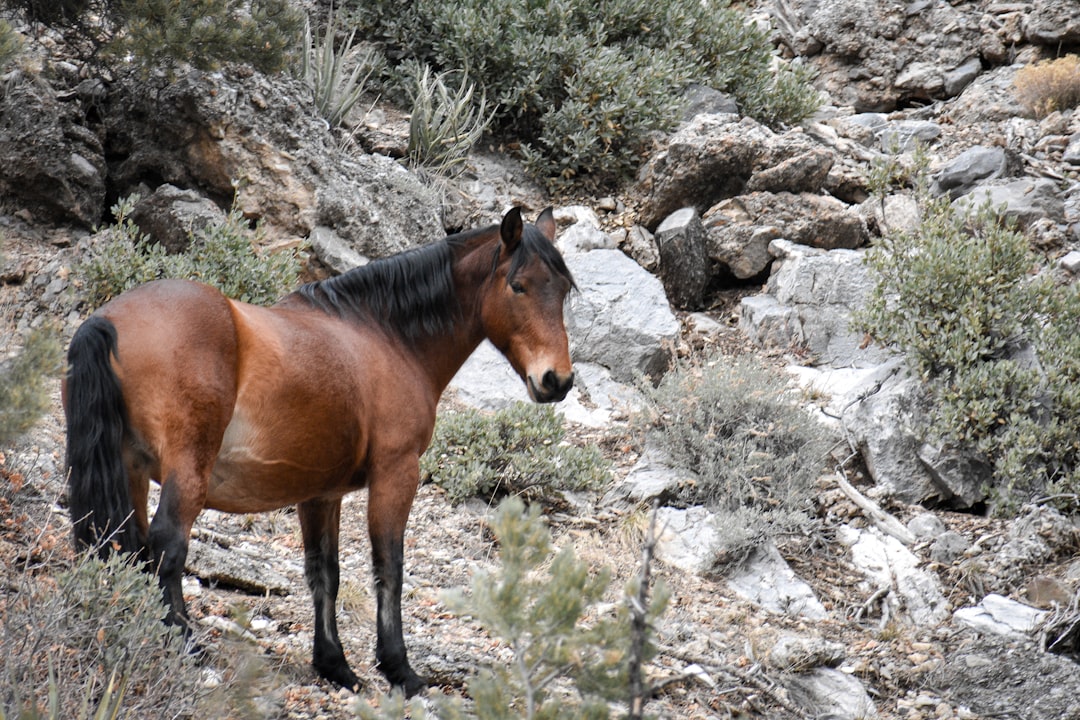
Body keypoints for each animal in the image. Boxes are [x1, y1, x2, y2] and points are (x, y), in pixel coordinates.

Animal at [61, 207, 574, 690]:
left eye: (564, 290)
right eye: (518, 286)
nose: (557, 380)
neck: (384, 336)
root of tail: (108, 320)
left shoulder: (321, 493)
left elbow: (324, 572)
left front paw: (335, 664)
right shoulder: (396, 471)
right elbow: (389, 565)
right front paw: (399, 669)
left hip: (131, 471)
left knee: (128, 545)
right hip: (186, 472)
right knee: (168, 544)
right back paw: (184, 642)